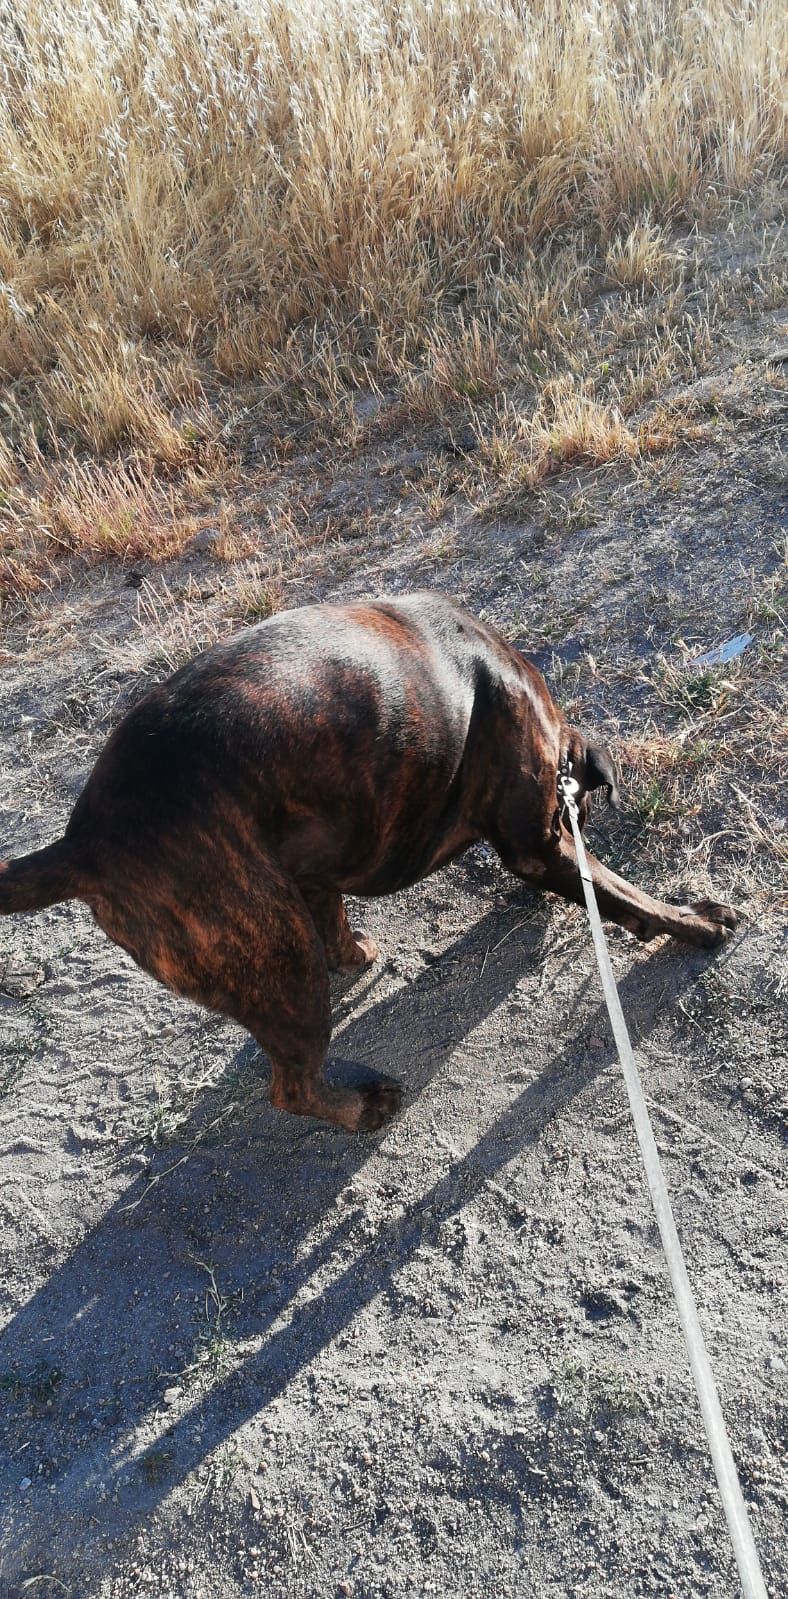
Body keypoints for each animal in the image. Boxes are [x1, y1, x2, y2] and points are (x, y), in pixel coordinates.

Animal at [1, 594, 738, 1132]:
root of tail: (86, 842)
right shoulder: (540, 845)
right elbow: (625, 894)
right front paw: (696, 922)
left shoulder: (316, 860)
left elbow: (332, 912)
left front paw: (354, 949)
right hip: (285, 970)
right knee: (291, 1087)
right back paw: (361, 1109)